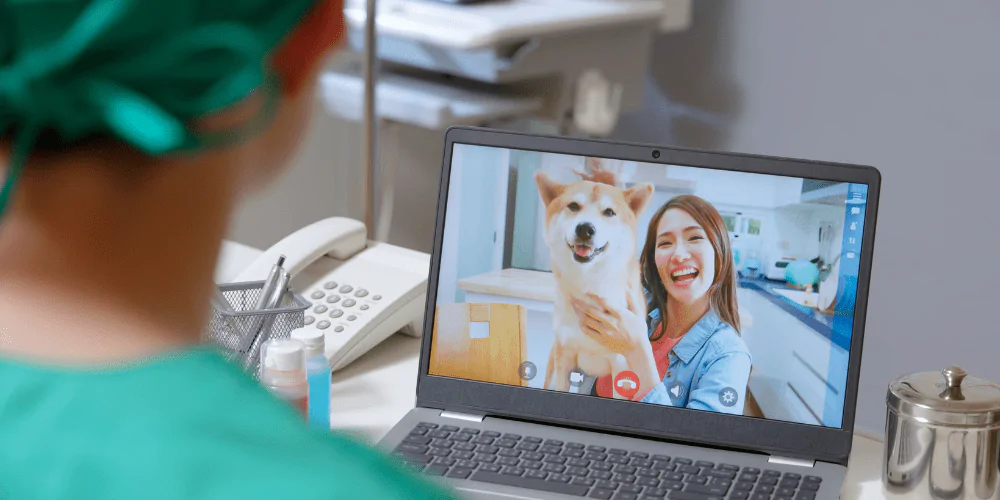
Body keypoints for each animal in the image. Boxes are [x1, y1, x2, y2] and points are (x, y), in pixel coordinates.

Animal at [536, 161, 652, 398]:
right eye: (573, 206)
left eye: (609, 212)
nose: (585, 228)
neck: (589, 283)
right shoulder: (565, 356)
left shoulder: (621, 365)